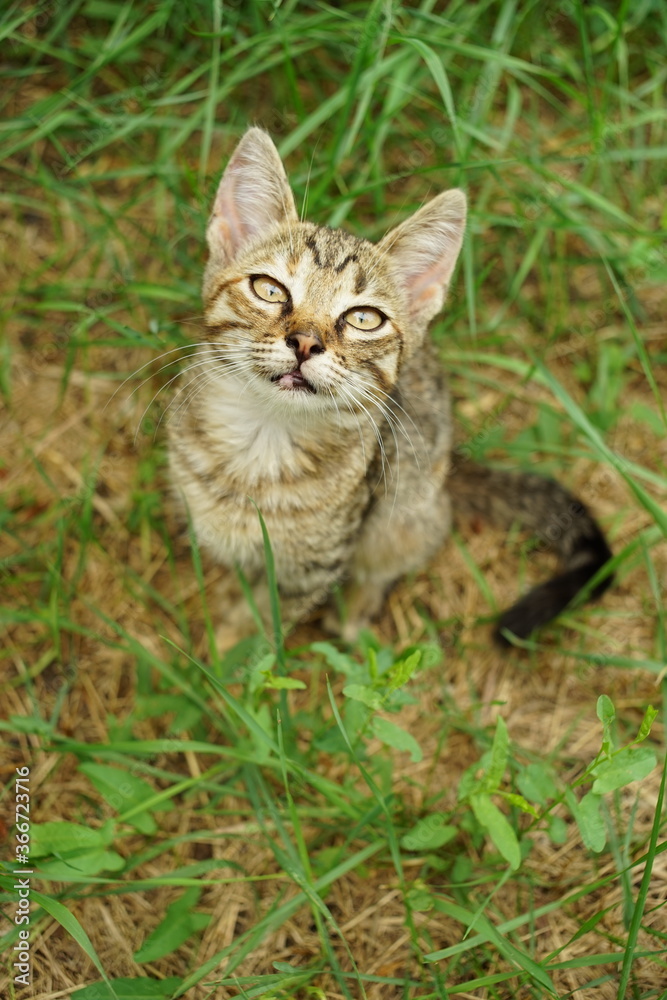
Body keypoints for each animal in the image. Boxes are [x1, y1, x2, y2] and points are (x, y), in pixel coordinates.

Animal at [170, 129, 612, 644]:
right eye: (269, 289)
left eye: (364, 319)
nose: (306, 342)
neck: (261, 445)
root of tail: (447, 469)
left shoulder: (316, 565)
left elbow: (264, 624)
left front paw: (230, 652)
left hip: (406, 511)